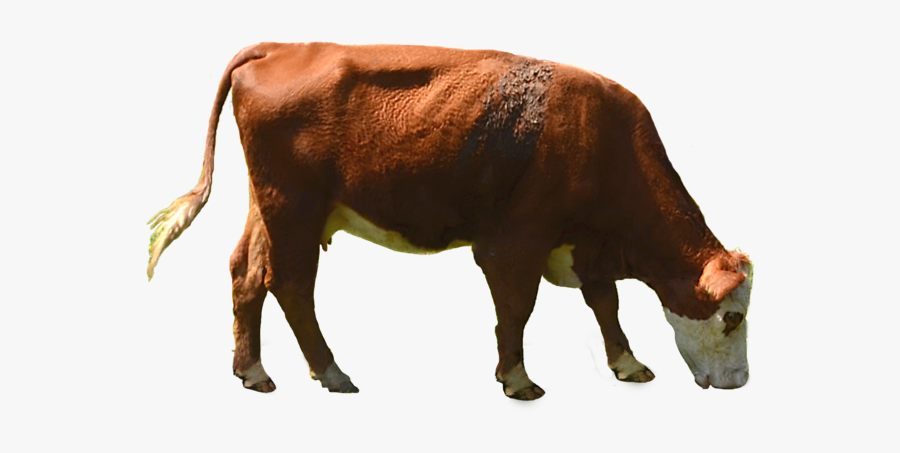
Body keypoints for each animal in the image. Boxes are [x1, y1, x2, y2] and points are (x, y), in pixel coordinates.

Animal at [147, 42, 753, 400]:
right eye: (731, 318)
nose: (740, 381)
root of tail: (282, 46)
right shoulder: (514, 244)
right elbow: (517, 310)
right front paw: (517, 379)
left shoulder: (583, 245)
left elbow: (606, 303)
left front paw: (628, 363)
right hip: (295, 206)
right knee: (291, 285)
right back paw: (333, 373)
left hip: (268, 206)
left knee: (246, 275)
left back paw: (253, 371)